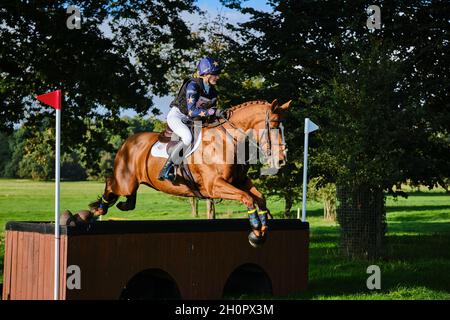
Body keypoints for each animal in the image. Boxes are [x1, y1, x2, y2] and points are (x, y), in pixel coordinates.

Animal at [89, 99, 290, 246]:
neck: (228, 140)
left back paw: (123, 204)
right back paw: (98, 209)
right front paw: (255, 230)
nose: (281, 160)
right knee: (110, 183)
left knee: (125, 196)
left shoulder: (239, 181)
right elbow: (247, 198)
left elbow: (260, 198)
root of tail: (127, 142)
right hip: (126, 182)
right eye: (273, 126)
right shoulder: (214, 185)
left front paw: (261, 231)